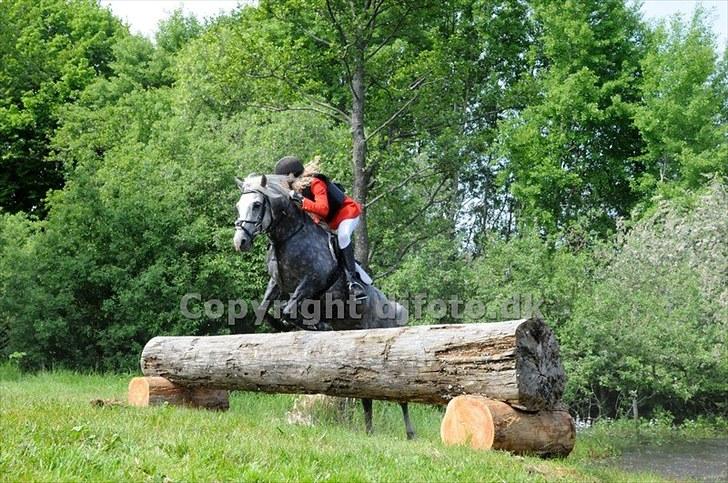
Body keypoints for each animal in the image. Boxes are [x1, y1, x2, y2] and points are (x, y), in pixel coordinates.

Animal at [233, 175, 416, 442]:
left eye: (257, 205)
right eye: (238, 205)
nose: (240, 242)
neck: (287, 237)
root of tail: (394, 308)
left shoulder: (311, 282)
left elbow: (288, 310)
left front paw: (315, 325)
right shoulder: (276, 284)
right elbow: (265, 310)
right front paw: (291, 325)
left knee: (401, 398)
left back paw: (410, 433)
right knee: (367, 396)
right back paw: (369, 431)